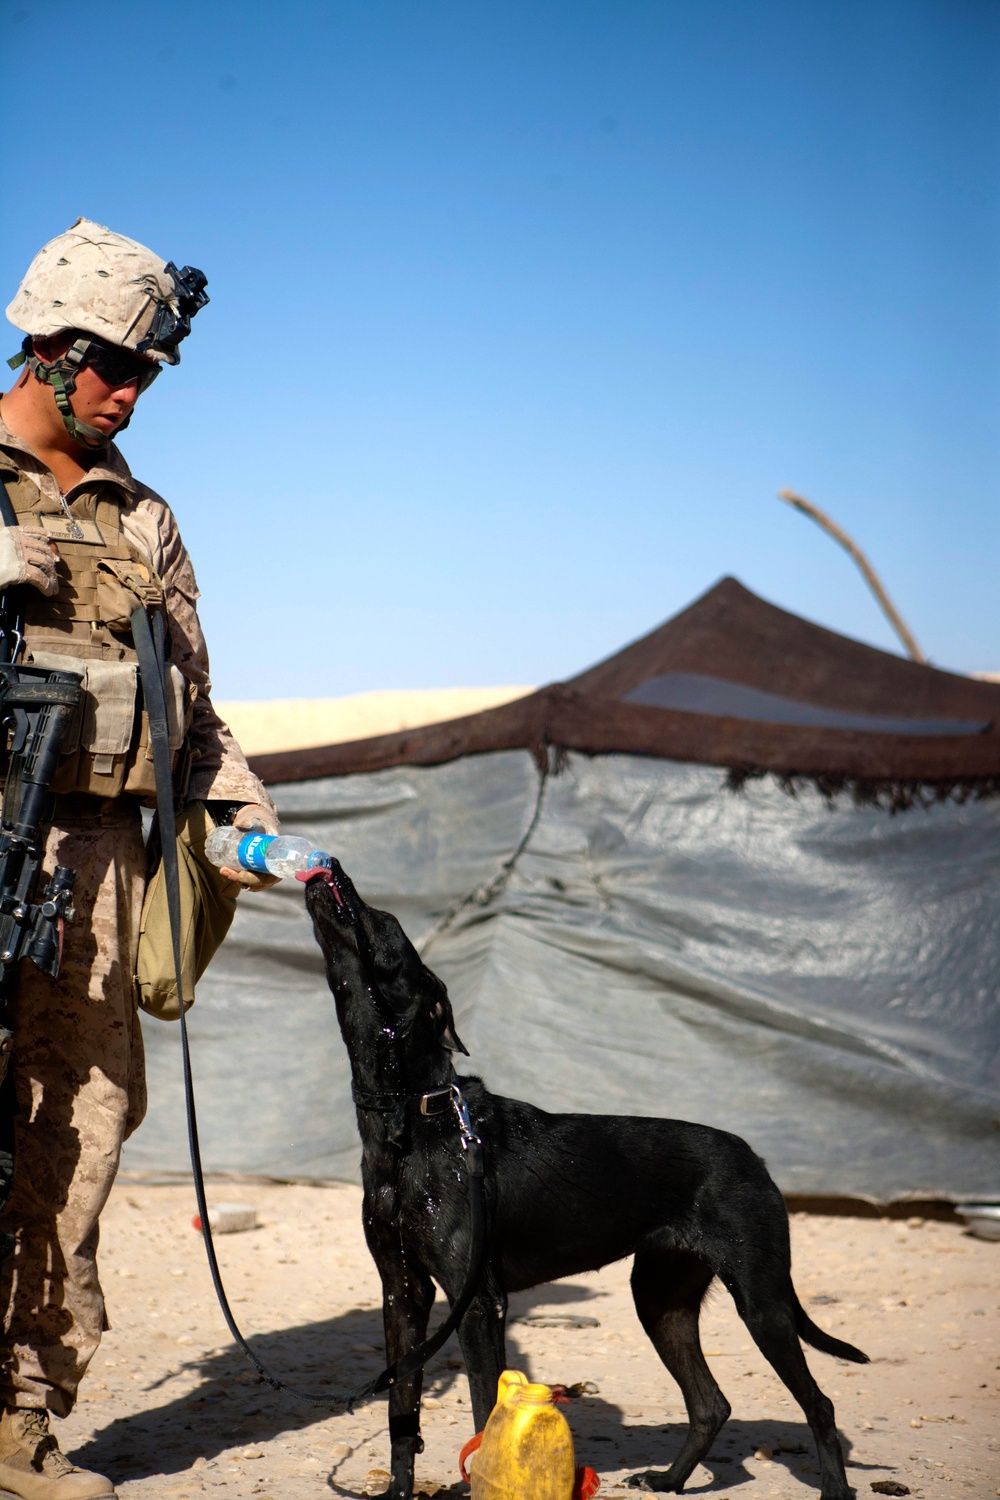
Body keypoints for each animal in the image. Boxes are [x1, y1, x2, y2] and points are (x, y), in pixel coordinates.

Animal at [307, 864, 869, 1500]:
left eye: (385, 921)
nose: (333, 868)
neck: (413, 1119)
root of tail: (754, 1158)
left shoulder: (478, 1303)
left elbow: (482, 1412)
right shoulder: (403, 1292)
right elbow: (400, 1408)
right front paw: (398, 1492)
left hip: (760, 1299)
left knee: (818, 1403)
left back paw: (831, 1487)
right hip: (661, 1300)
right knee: (711, 1404)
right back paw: (670, 1480)